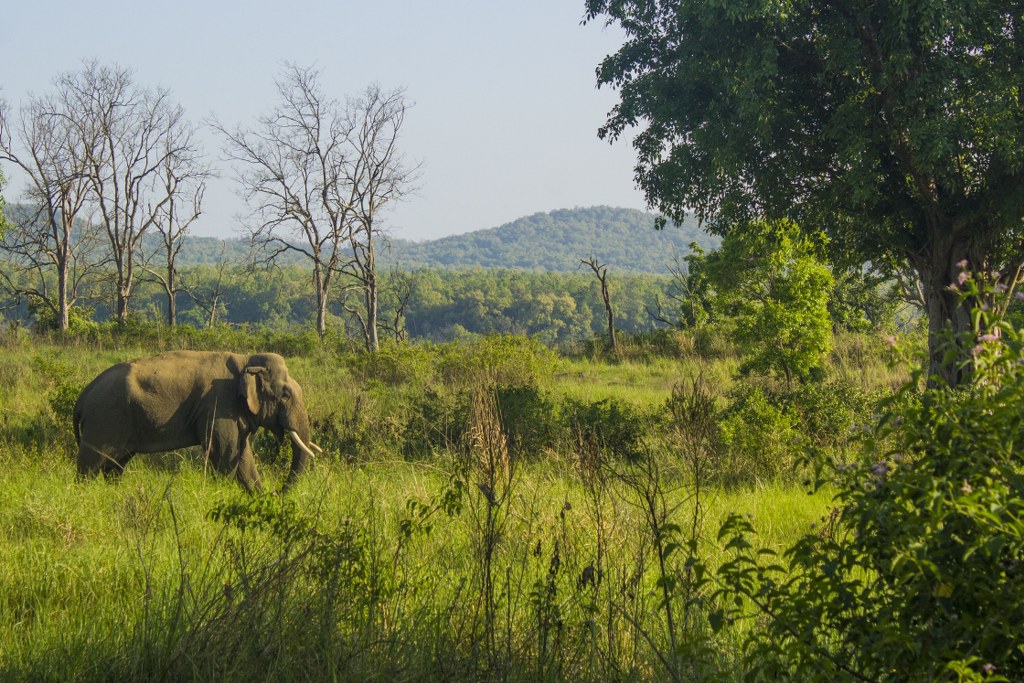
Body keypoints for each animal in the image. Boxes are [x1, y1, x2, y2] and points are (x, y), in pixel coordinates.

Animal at [73, 352, 319, 491]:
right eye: (285, 395)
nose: (276, 491)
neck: (246, 360)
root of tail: (82, 397)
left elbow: (242, 455)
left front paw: (258, 497)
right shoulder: (218, 405)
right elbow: (225, 453)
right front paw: (222, 492)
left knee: (115, 465)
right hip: (104, 420)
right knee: (91, 464)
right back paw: (85, 494)